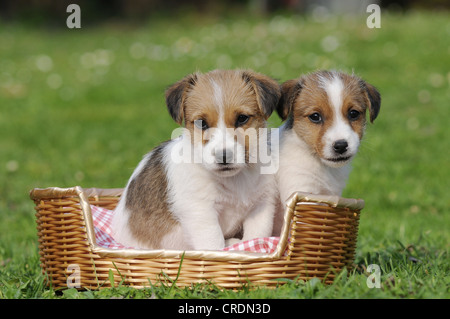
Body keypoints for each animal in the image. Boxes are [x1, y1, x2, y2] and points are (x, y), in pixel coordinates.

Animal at [111, 69, 282, 251]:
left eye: (242, 118)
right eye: (201, 123)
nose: (223, 156)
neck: (235, 180)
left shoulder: (261, 206)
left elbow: (256, 237)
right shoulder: (201, 213)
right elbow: (214, 244)